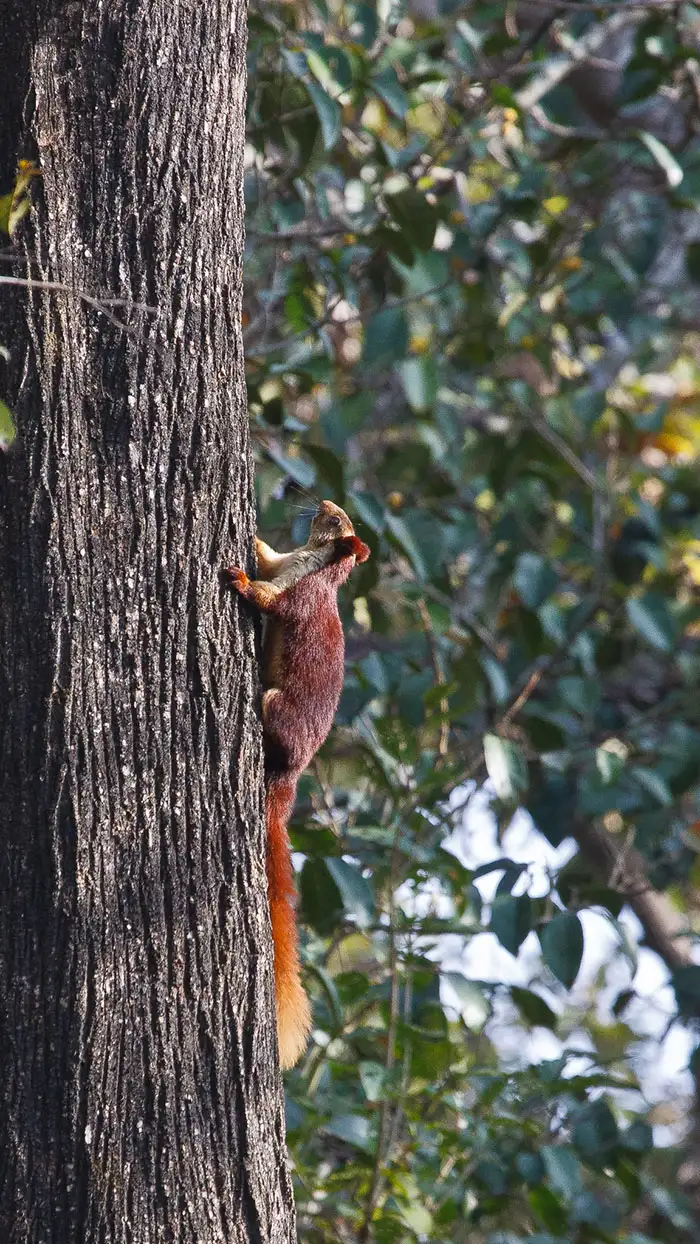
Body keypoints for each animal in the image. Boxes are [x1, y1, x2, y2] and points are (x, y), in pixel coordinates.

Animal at [225, 500, 370, 1064]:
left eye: (341, 524)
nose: (326, 504)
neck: (311, 563)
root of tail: (289, 778)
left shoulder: (299, 597)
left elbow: (270, 599)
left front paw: (241, 579)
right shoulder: (285, 563)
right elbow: (268, 557)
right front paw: (255, 539)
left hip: (277, 711)